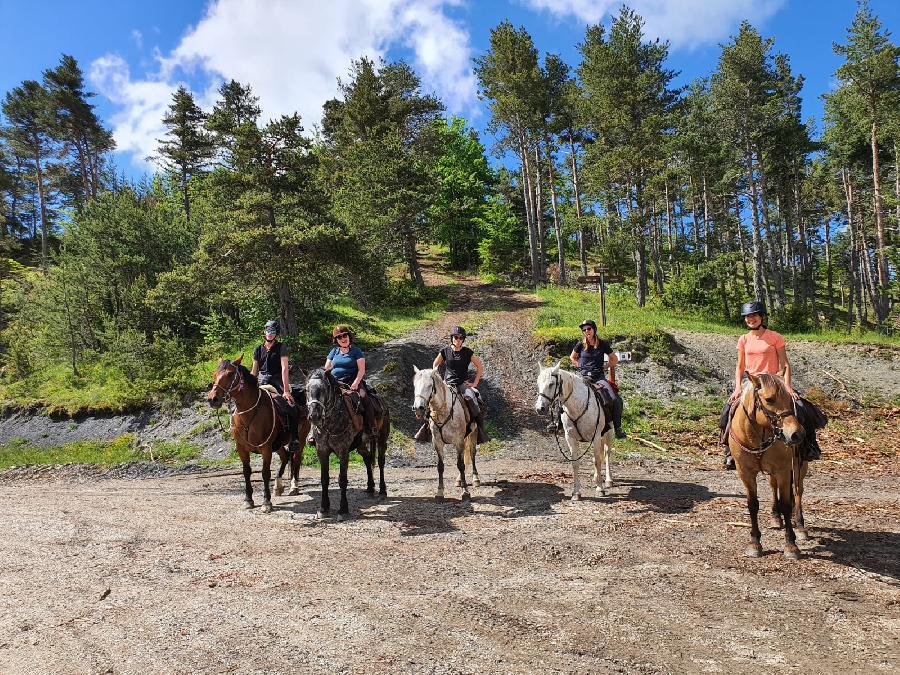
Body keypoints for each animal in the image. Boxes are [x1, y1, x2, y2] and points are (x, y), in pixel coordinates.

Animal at [207, 356, 312, 510]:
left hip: (301, 439)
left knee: (296, 459)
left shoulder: (266, 448)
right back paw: (278, 487)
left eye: (230, 374)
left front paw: (266, 502)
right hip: (278, 444)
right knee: (285, 457)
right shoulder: (241, 448)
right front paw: (248, 500)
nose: (213, 399)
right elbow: (246, 472)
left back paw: (294, 487)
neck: (249, 414)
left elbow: (265, 473)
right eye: (215, 374)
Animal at [304, 370, 388, 516]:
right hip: (361, 445)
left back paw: (382, 490)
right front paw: (324, 508)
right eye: (306, 390)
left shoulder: (343, 451)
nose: (314, 416)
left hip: (382, 438)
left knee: (381, 461)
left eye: (324, 389)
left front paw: (343, 509)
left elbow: (342, 479)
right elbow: (324, 479)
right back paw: (370, 487)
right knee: (367, 459)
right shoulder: (322, 451)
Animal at [412, 364, 478, 502]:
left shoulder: (458, 441)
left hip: (473, 433)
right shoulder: (437, 442)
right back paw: (459, 480)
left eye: (429, 386)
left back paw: (476, 479)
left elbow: (460, 464)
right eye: (415, 385)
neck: (444, 410)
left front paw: (465, 492)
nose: (418, 408)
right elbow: (440, 466)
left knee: (472, 453)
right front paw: (440, 492)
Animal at [532, 364, 616, 502]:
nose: (540, 408)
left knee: (607, 453)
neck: (578, 405)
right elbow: (575, 463)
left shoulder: (596, 436)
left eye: (551, 384)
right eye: (538, 383)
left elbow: (597, 461)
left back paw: (608, 480)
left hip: (608, 433)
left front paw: (600, 489)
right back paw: (596, 476)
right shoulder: (570, 438)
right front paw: (576, 493)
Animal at [728, 374, 812, 560]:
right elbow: (753, 505)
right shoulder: (745, 472)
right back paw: (775, 517)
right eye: (769, 399)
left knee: (798, 491)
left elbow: (786, 504)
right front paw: (754, 543)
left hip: (799, 468)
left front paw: (791, 545)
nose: (797, 434)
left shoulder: (783, 471)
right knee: (774, 488)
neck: (757, 438)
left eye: (789, 399)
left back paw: (800, 526)